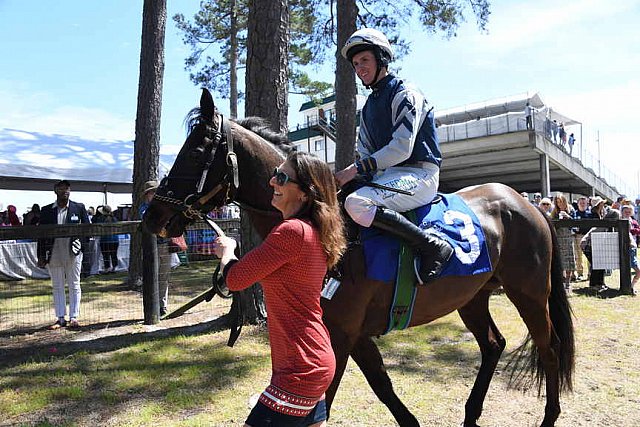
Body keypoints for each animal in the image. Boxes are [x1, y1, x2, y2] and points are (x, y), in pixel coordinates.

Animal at [144, 88, 576, 426]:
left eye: (196, 151)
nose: (153, 216)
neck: (326, 227)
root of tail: (527, 202)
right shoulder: (354, 334)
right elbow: (383, 386)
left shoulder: (340, 333)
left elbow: (326, 400)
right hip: (472, 296)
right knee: (493, 345)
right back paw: (471, 414)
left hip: (529, 293)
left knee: (549, 347)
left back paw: (549, 416)